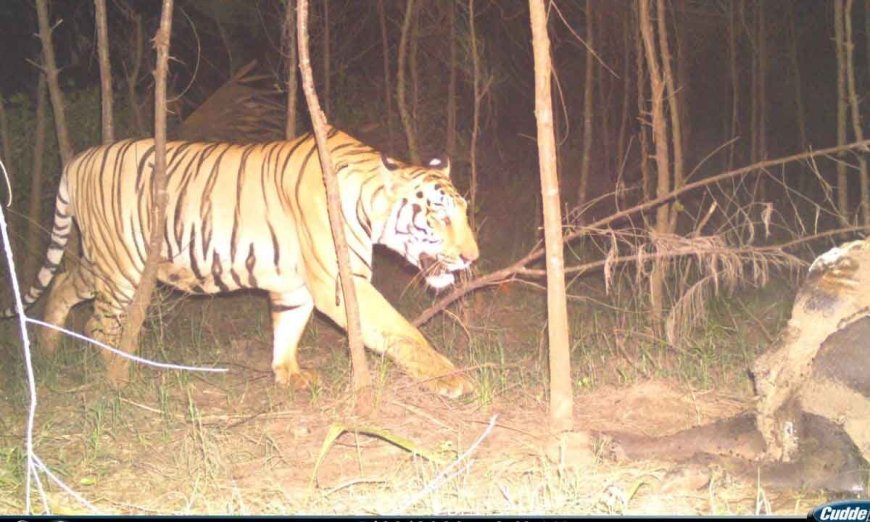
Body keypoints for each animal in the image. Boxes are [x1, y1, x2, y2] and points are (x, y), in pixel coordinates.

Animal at [5, 127, 478, 398]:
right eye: (439, 215)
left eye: (464, 212)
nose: (472, 257)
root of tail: (77, 159)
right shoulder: (342, 283)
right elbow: (403, 331)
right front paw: (451, 378)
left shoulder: (296, 285)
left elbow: (287, 329)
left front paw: (288, 375)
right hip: (122, 267)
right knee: (98, 324)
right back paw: (117, 376)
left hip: (105, 260)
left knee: (63, 284)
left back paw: (47, 347)